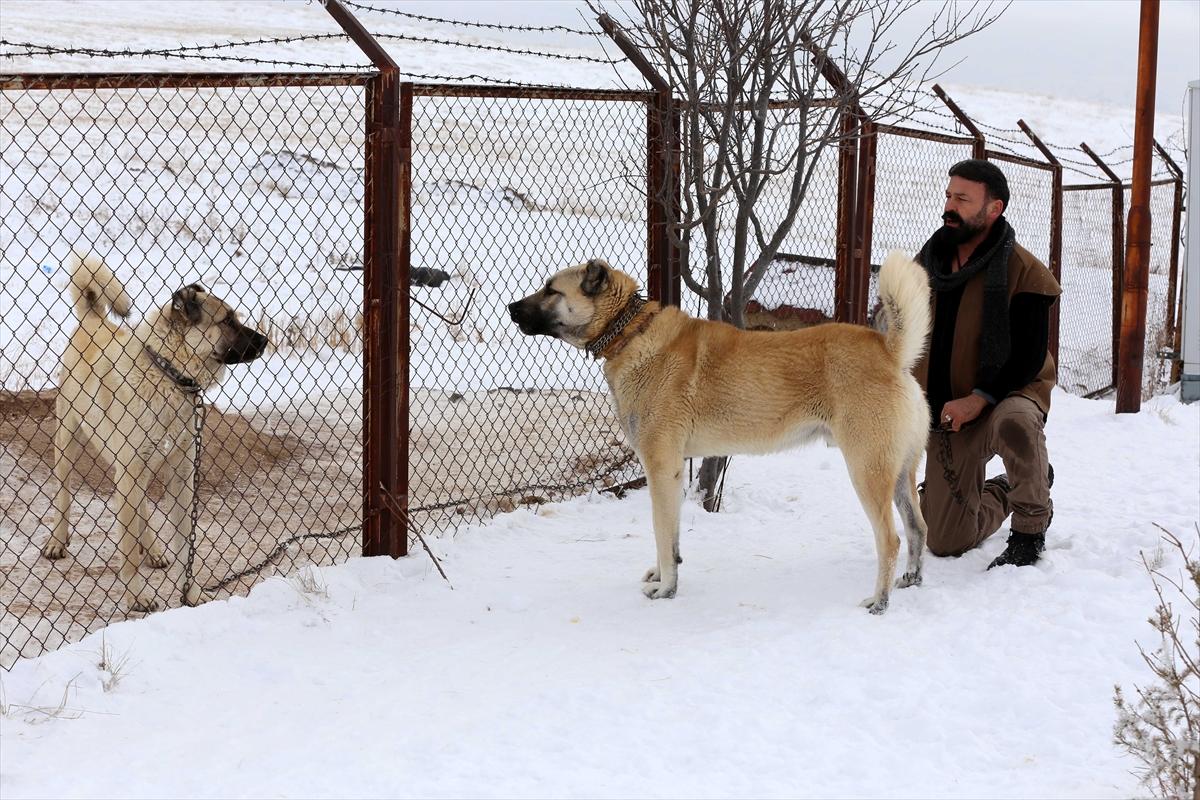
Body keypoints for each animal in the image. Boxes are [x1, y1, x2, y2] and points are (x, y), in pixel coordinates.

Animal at [43, 253, 268, 609]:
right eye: (227, 321)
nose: (265, 340)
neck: (168, 374)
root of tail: (94, 320)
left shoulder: (180, 474)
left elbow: (184, 543)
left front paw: (190, 591)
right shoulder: (131, 469)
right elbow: (128, 547)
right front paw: (137, 594)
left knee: (142, 510)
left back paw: (153, 549)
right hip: (68, 442)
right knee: (64, 495)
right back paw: (57, 540)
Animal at [511, 253, 931, 618]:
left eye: (551, 290)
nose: (512, 307)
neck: (630, 334)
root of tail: (890, 353)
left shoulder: (660, 469)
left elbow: (661, 533)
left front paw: (666, 589)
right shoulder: (673, 473)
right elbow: (671, 538)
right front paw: (666, 576)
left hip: (867, 472)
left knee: (890, 540)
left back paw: (880, 601)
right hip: (899, 474)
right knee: (917, 527)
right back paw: (911, 579)